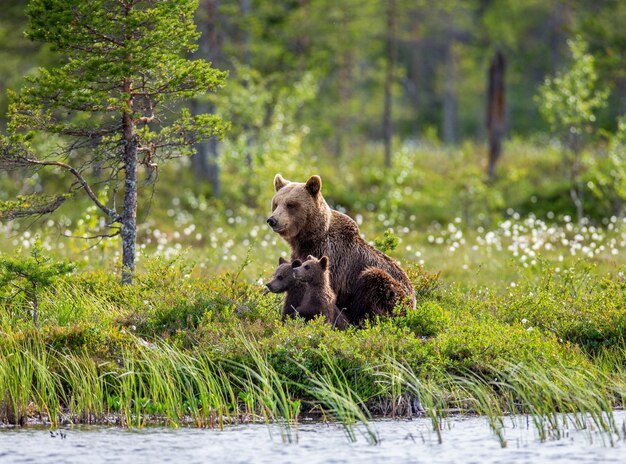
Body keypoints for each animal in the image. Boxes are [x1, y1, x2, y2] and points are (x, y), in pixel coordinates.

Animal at [264, 172, 414, 324]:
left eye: (290, 204)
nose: (272, 220)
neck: (309, 239)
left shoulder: (333, 259)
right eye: (276, 203)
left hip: (393, 295)